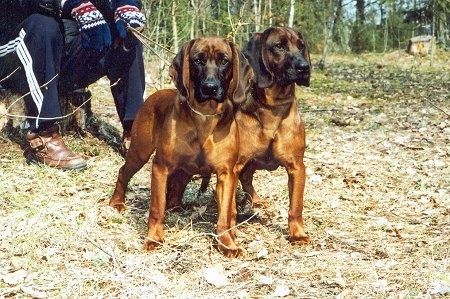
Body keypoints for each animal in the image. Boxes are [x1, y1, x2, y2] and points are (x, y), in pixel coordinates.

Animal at [107, 37, 251, 258]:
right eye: (198, 60)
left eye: (224, 61)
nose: (210, 87)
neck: (204, 116)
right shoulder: (160, 167)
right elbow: (156, 208)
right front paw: (153, 239)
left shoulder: (226, 174)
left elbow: (225, 214)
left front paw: (227, 243)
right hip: (140, 151)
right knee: (124, 171)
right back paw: (117, 202)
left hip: (185, 169)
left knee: (178, 184)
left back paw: (176, 205)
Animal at [236, 27, 312, 245]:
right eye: (279, 46)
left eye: (301, 46)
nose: (304, 67)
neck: (273, 107)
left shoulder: (297, 167)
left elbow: (296, 206)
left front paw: (297, 234)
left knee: (246, 178)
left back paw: (257, 201)